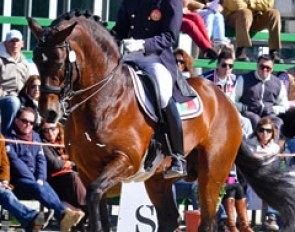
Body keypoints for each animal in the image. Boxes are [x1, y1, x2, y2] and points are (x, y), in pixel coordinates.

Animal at [26, 10, 295, 231]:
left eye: (59, 61)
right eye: (37, 59)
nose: (49, 113)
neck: (105, 98)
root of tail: (226, 101)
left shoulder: (125, 161)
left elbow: (93, 197)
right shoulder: (86, 170)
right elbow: (96, 209)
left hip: (212, 174)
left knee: (206, 221)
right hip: (159, 180)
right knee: (169, 219)